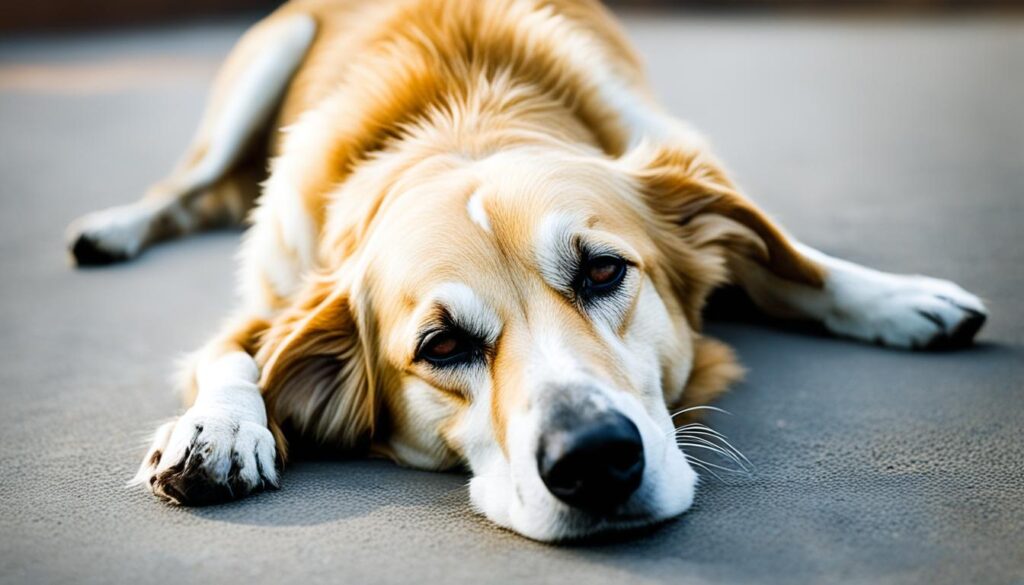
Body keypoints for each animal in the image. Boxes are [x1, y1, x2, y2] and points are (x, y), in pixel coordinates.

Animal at [61, 0, 983, 540]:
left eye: (605, 272)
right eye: (439, 346)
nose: (596, 460)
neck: (462, 118)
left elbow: (792, 259)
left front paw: (904, 299)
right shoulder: (274, 289)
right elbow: (231, 351)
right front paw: (217, 428)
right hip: (263, 63)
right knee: (183, 187)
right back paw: (108, 229)